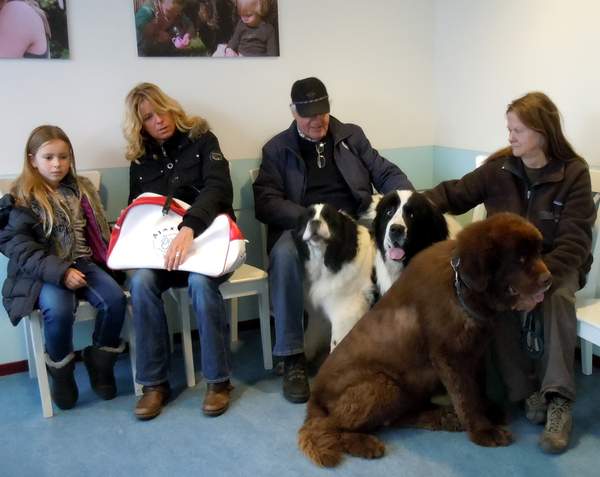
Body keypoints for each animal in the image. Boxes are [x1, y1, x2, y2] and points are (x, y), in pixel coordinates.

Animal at [298, 213, 552, 467]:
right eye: (520, 258)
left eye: (538, 253)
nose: (548, 279)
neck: (459, 286)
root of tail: (315, 397)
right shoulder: (449, 356)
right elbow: (466, 396)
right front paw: (483, 431)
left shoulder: (475, 351)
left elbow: (478, 387)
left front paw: (487, 411)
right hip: (383, 384)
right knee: (330, 426)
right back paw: (364, 443)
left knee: (397, 417)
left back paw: (442, 417)